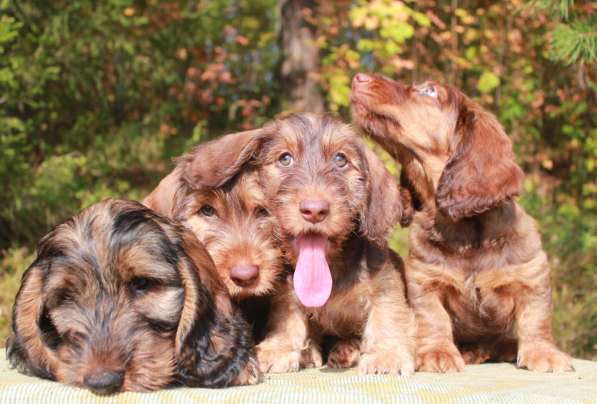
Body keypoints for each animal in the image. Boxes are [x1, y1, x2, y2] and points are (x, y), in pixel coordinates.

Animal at [193, 113, 416, 376]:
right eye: (285, 158)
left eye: (341, 159)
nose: (314, 210)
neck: (332, 265)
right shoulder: (288, 292)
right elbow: (288, 319)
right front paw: (279, 347)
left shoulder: (384, 282)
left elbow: (387, 313)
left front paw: (387, 353)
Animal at [350, 72, 572, 372]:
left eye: (430, 91)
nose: (358, 77)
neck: (464, 233)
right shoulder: (425, 282)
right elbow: (434, 318)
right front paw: (437, 353)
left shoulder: (531, 276)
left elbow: (535, 319)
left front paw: (543, 353)